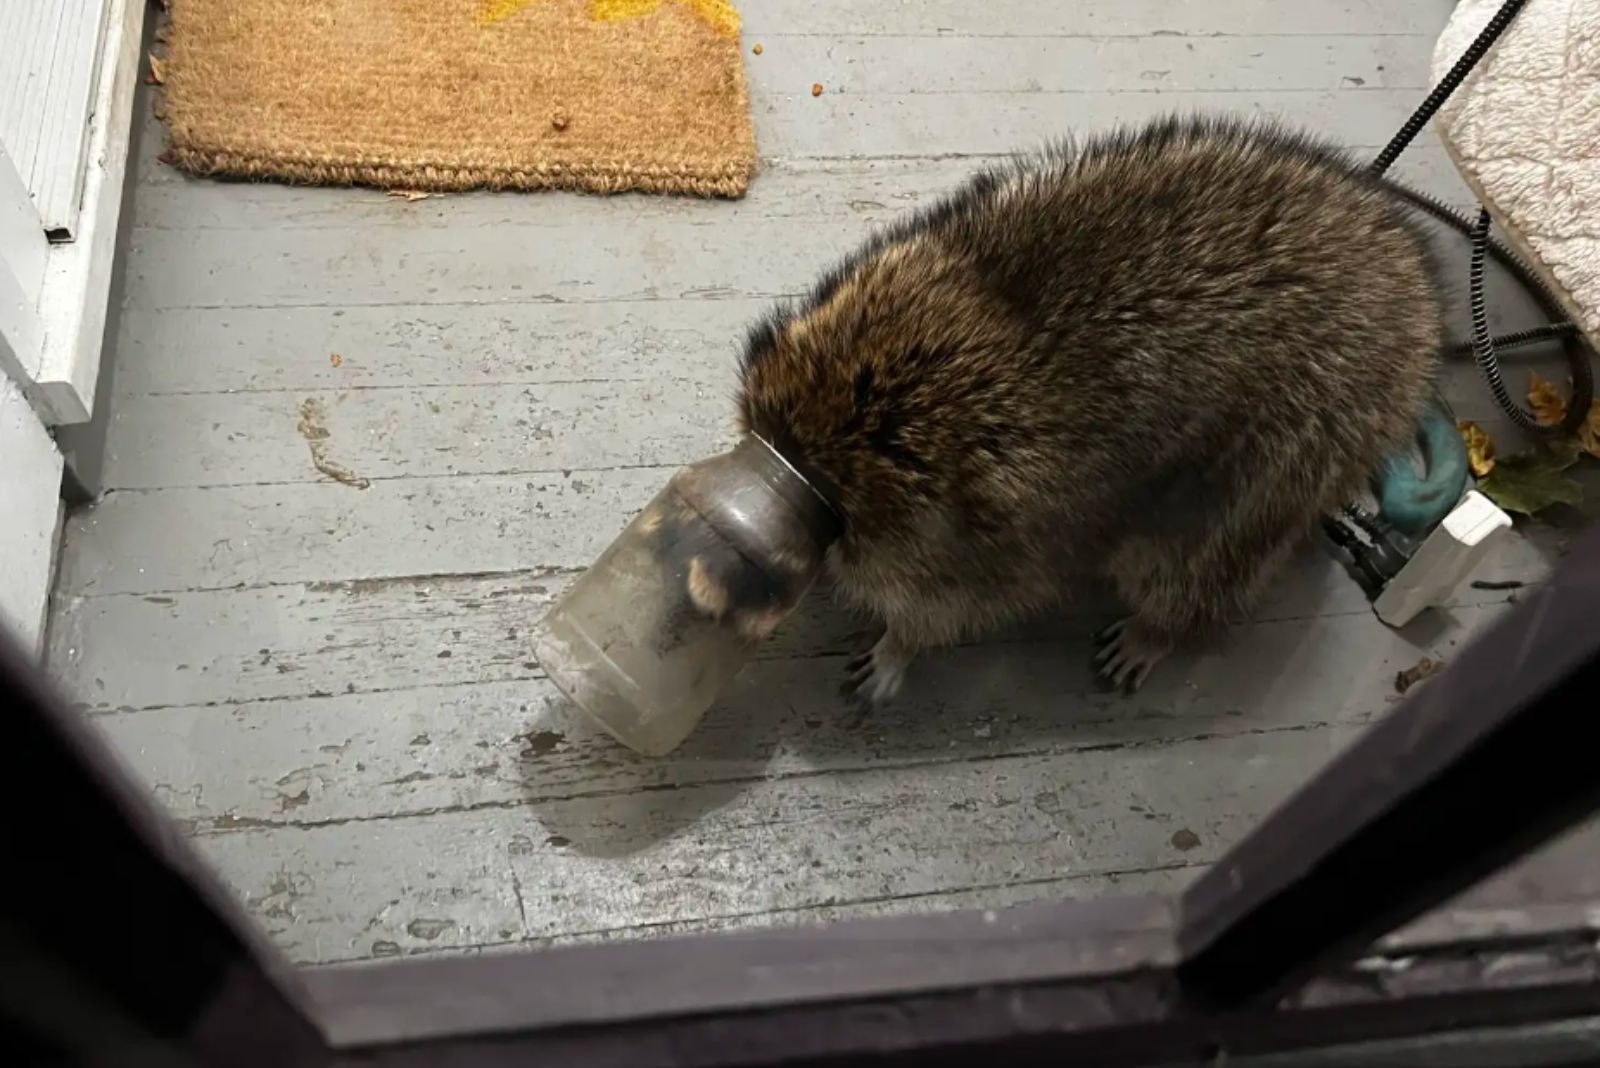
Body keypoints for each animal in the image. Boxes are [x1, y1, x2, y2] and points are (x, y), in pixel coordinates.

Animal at [736, 116, 1452, 703]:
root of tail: (1419, 305)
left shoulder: (999, 549)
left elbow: (952, 609)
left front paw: (898, 647)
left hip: (1281, 467)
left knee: (1200, 566)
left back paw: (1159, 630)